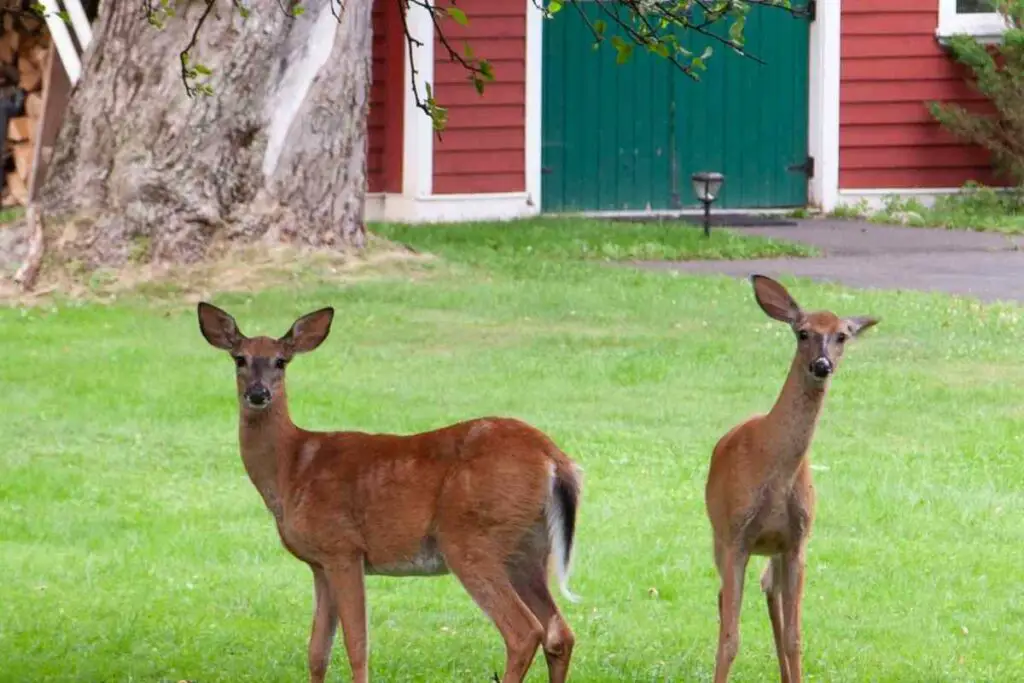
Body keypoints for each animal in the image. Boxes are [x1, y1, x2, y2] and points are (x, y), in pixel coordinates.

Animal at [195, 305, 585, 683]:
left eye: (281, 361)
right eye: (239, 358)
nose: (258, 393)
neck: (292, 467)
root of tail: (553, 457)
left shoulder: (343, 547)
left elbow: (357, 645)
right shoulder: (319, 563)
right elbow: (317, 652)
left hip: (472, 538)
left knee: (524, 632)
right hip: (528, 548)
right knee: (560, 633)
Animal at [704, 276, 880, 683]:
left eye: (842, 336)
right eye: (803, 333)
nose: (822, 364)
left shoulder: (798, 541)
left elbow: (795, 636)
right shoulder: (736, 536)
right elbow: (731, 638)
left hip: (775, 549)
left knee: (769, 589)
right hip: (719, 535)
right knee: (724, 599)